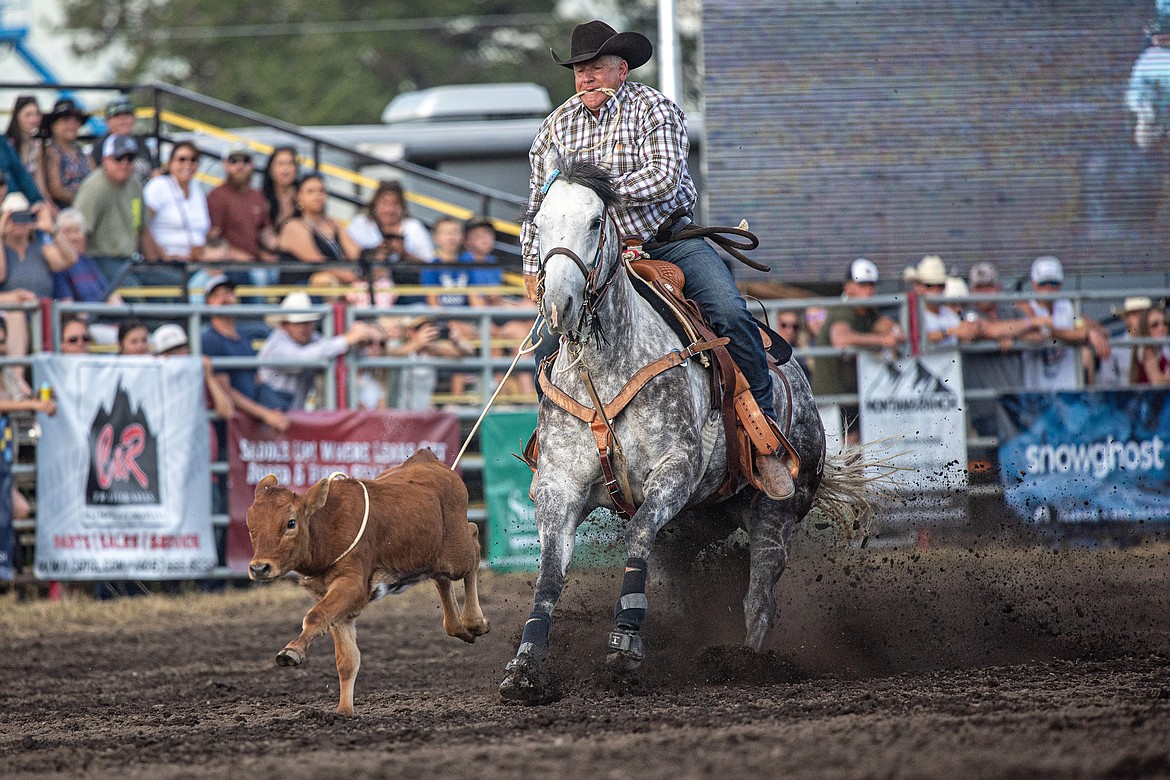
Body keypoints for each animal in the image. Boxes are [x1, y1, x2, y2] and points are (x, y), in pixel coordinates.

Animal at [244, 449, 486, 715]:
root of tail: (427, 459)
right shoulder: (332, 599)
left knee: (473, 539)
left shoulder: (352, 584)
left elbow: (315, 616)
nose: (259, 568)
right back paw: (460, 627)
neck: (327, 529)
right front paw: (344, 712)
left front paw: (291, 651)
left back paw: (475, 622)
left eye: (290, 522)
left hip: (457, 552)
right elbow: (347, 659)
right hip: (433, 558)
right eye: (250, 524)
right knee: (441, 579)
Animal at [498, 155, 865, 706]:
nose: (560, 303)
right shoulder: (558, 488)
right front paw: (524, 669)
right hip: (697, 521)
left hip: (776, 514)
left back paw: (743, 664)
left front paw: (625, 647)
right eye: (538, 225)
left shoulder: (674, 472)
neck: (606, 368)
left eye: (595, 221)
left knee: (759, 598)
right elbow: (548, 576)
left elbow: (637, 536)